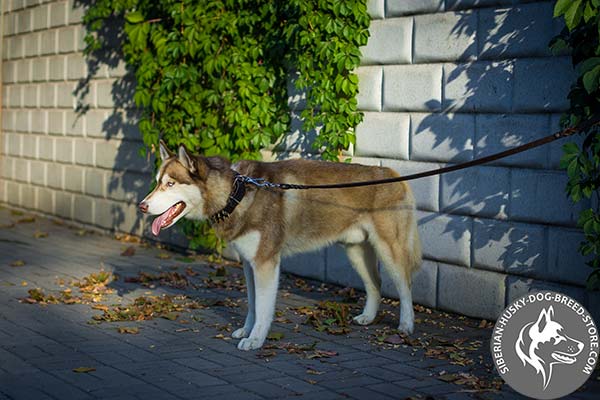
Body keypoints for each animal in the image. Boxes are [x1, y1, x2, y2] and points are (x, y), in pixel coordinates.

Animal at [139, 141, 422, 350]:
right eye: (158, 181)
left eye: (170, 184)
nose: (142, 205)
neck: (235, 194)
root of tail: (393, 174)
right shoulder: (249, 264)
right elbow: (253, 304)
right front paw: (247, 329)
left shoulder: (266, 263)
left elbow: (264, 308)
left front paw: (255, 339)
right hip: (356, 250)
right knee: (375, 284)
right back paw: (368, 317)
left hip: (390, 249)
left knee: (405, 285)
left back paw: (406, 326)